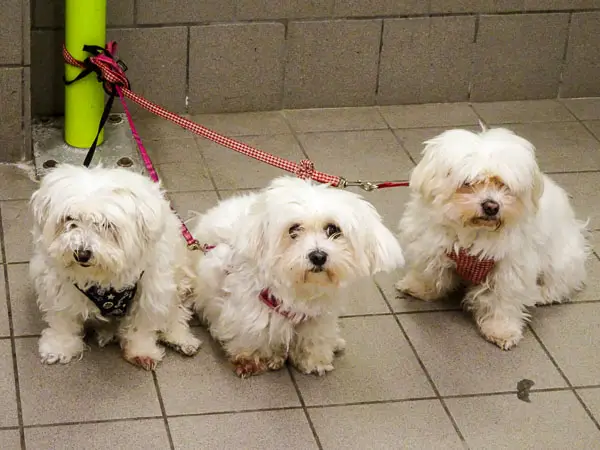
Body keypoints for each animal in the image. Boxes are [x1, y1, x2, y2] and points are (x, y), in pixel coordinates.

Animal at [29, 164, 202, 370]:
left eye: (106, 225)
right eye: (69, 219)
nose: (82, 254)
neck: (103, 278)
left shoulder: (151, 290)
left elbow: (141, 324)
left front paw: (141, 351)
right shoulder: (59, 286)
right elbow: (63, 320)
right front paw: (59, 347)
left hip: (178, 280)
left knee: (177, 312)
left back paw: (180, 338)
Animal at [178, 176, 404, 376]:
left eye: (333, 229)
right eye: (294, 229)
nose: (318, 256)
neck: (300, 290)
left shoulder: (318, 318)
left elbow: (315, 338)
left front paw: (314, 361)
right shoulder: (249, 311)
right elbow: (252, 335)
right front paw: (255, 359)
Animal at [396, 126, 588, 352]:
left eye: (503, 185)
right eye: (468, 183)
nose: (491, 206)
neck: (474, 232)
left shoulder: (509, 269)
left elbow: (502, 302)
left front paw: (501, 330)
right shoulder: (431, 245)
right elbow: (429, 272)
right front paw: (418, 287)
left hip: (560, 261)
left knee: (559, 285)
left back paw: (539, 294)